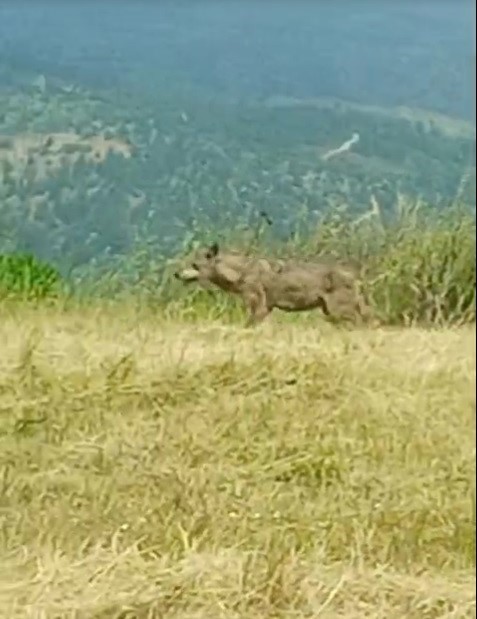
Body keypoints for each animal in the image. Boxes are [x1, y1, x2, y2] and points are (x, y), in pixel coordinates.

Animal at [174, 243, 372, 330]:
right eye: (186, 262)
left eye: (194, 265)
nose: (176, 274)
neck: (240, 272)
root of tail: (356, 278)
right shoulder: (266, 308)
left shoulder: (259, 307)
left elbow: (247, 326)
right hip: (331, 313)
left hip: (339, 312)